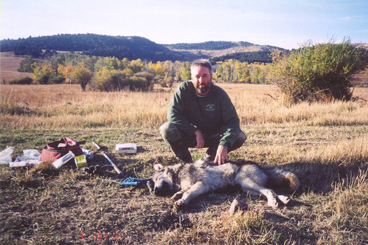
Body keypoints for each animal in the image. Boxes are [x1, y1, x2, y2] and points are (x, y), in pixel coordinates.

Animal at [152, 160, 300, 210]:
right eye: (153, 182)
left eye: (156, 179)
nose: (154, 191)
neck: (178, 174)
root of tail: (263, 168)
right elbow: (183, 191)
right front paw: (177, 195)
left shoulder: (202, 185)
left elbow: (188, 193)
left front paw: (181, 202)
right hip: (247, 189)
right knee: (270, 191)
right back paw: (283, 199)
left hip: (246, 182)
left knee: (269, 190)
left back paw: (273, 203)